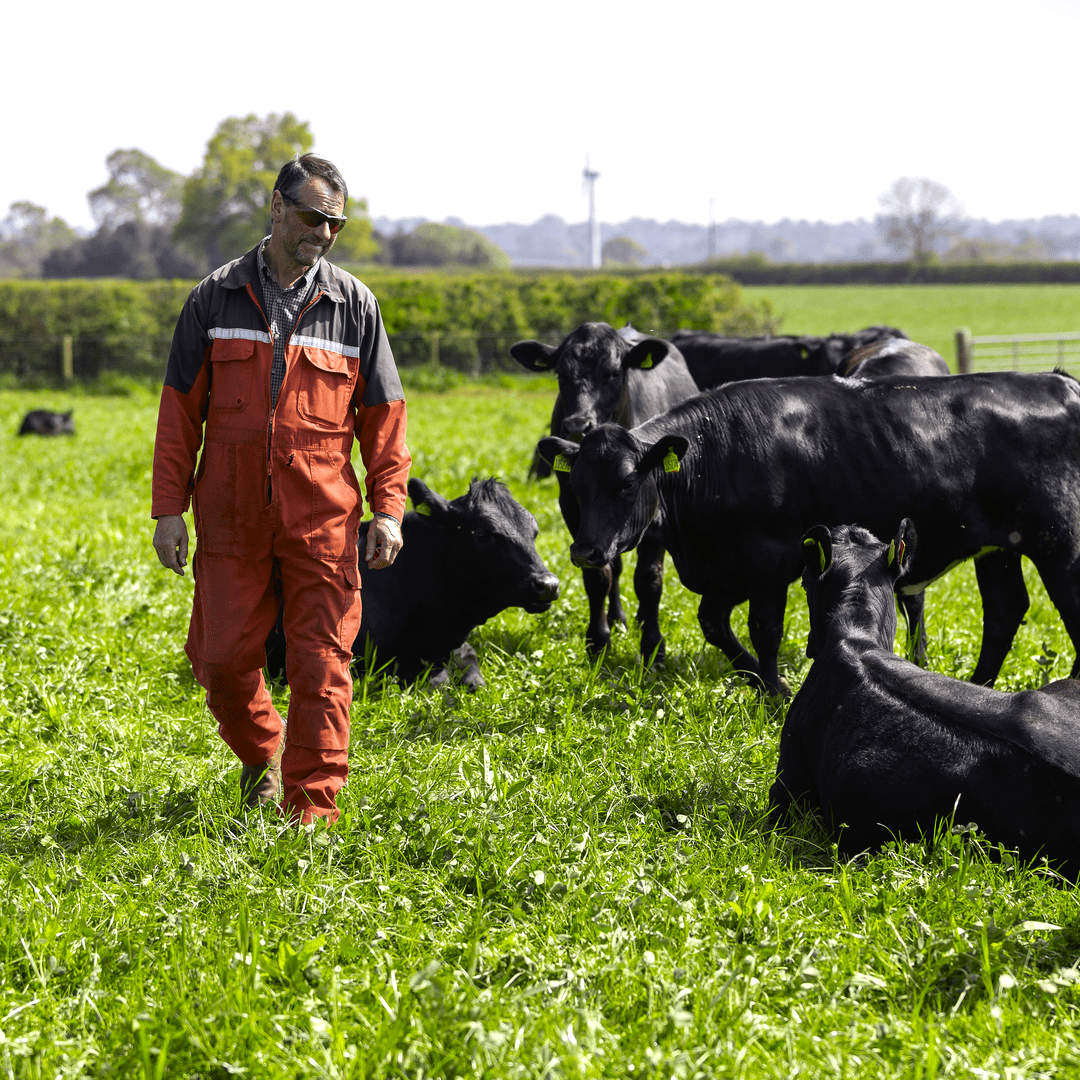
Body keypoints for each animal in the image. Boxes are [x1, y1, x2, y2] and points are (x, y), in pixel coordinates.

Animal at [540, 369, 1080, 691]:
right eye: (577, 489)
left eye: (627, 483)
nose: (586, 552)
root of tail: (1059, 381)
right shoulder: (729, 569)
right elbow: (713, 622)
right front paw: (757, 679)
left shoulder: (767, 559)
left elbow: (764, 628)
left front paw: (775, 690)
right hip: (999, 547)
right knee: (1005, 610)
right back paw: (979, 684)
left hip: (1060, 542)